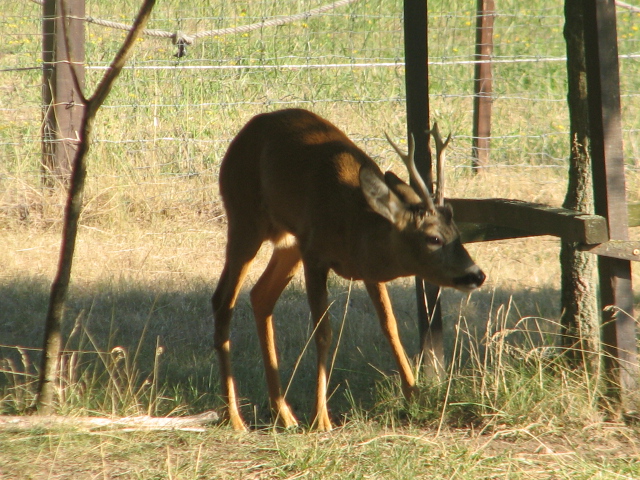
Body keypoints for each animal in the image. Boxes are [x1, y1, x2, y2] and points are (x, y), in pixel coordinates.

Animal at [212, 108, 485, 431]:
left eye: (457, 232)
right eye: (434, 238)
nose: (476, 275)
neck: (353, 224)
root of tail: (242, 135)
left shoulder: (367, 270)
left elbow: (390, 325)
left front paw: (415, 395)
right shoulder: (315, 254)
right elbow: (323, 333)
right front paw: (321, 418)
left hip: (288, 243)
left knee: (261, 296)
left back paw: (284, 414)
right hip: (245, 219)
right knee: (223, 301)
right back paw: (234, 417)